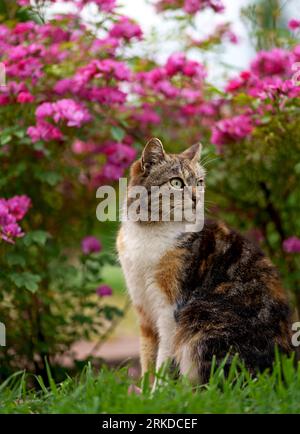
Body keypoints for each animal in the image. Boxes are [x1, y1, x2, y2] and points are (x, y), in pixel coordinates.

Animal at [116, 136, 292, 384]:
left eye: (199, 182)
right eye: (176, 183)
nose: (196, 197)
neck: (150, 231)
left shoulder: (171, 310)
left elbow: (164, 361)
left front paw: (159, 391)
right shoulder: (144, 310)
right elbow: (147, 359)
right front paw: (144, 391)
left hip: (200, 319)